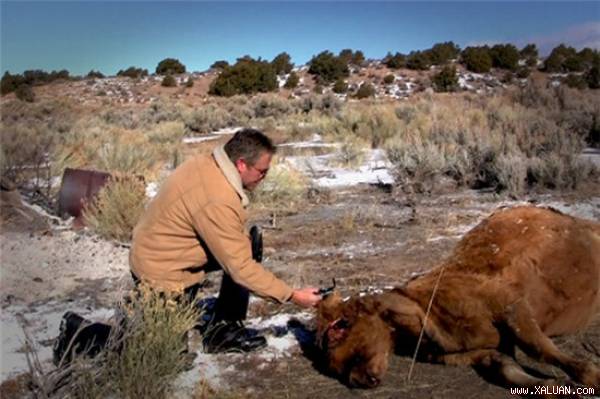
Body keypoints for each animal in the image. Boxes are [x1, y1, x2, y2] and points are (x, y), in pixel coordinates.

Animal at [316, 206, 596, 390]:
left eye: (340, 326)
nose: (355, 380)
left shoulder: (512, 306)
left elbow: (541, 350)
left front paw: (592, 375)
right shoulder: (474, 353)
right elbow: (507, 369)